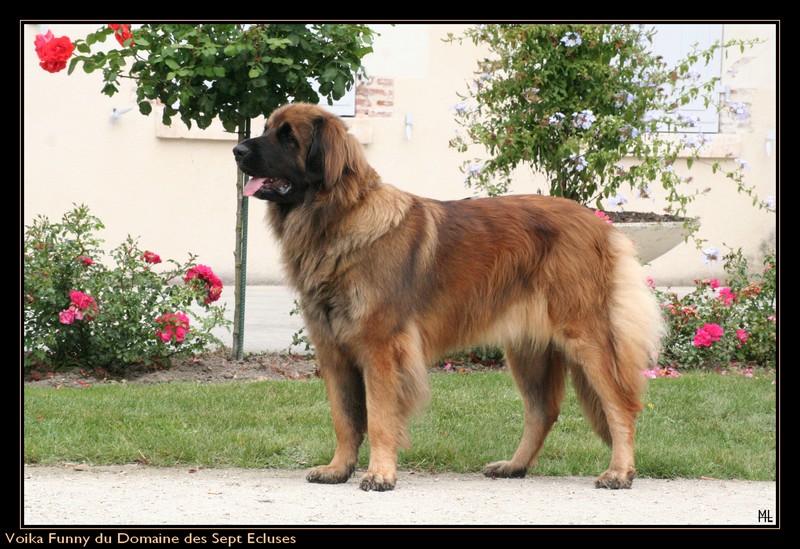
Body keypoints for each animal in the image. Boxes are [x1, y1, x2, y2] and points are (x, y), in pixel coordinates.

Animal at [233, 102, 664, 492]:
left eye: (288, 137)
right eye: (267, 128)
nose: (237, 150)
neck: (338, 217)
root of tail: (601, 224)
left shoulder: (379, 348)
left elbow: (378, 417)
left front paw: (379, 474)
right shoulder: (333, 350)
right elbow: (344, 418)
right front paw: (339, 469)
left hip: (585, 337)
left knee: (619, 404)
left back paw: (619, 472)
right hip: (528, 349)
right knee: (543, 411)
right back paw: (515, 466)